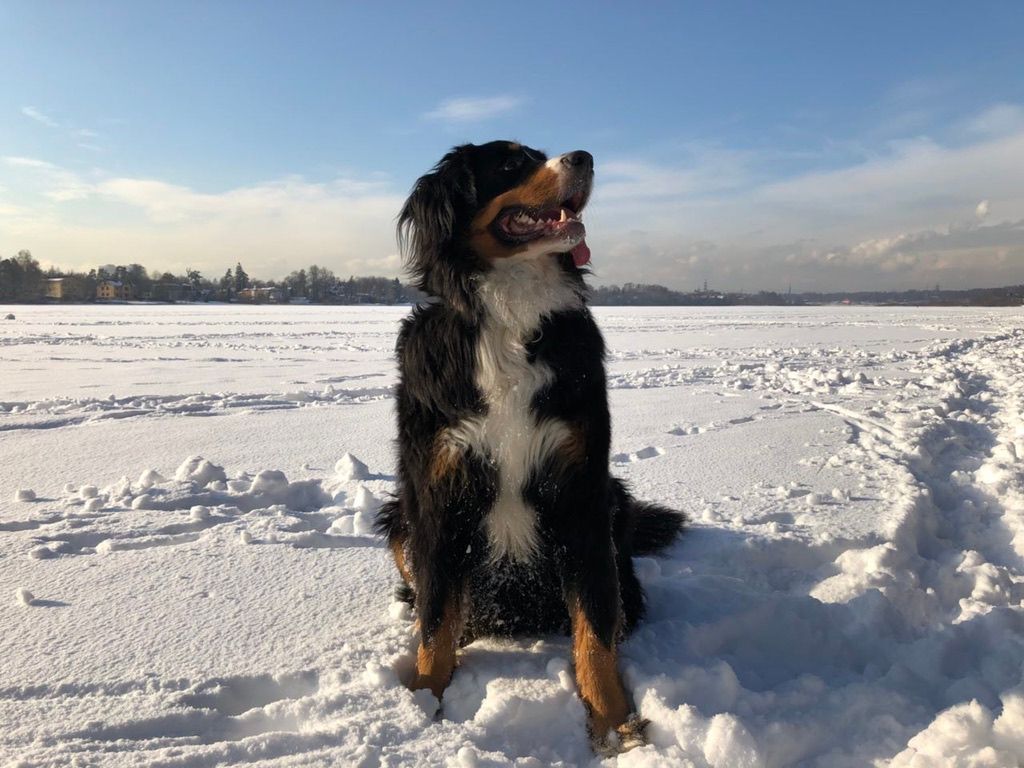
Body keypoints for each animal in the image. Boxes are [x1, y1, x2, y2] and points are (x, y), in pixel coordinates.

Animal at [374, 141, 679, 753]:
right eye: (512, 163)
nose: (585, 157)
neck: (511, 308)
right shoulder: (437, 490)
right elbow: (436, 617)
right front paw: (423, 703)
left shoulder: (582, 490)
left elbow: (595, 625)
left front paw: (613, 724)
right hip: (398, 517)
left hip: (616, 503)